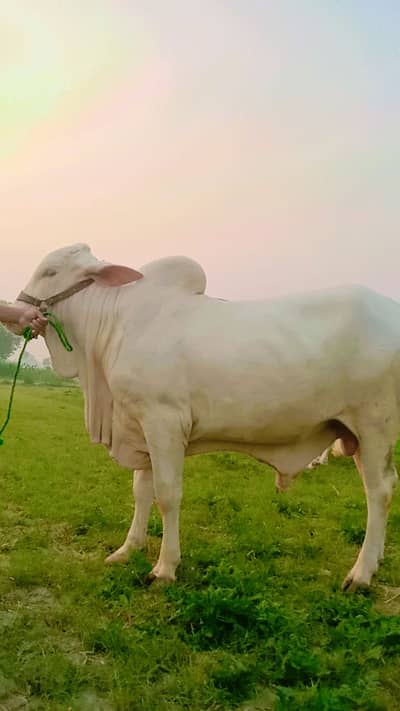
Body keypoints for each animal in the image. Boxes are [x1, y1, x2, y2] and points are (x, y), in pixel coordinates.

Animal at [15, 243, 399, 591]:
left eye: (50, 272)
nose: (16, 311)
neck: (114, 325)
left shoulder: (164, 422)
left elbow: (167, 495)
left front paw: (164, 568)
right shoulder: (140, 426)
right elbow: (141, 490)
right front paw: (128, 549)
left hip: (374, 428)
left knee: (379, 491)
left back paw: (361, 574)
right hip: (354, 433)